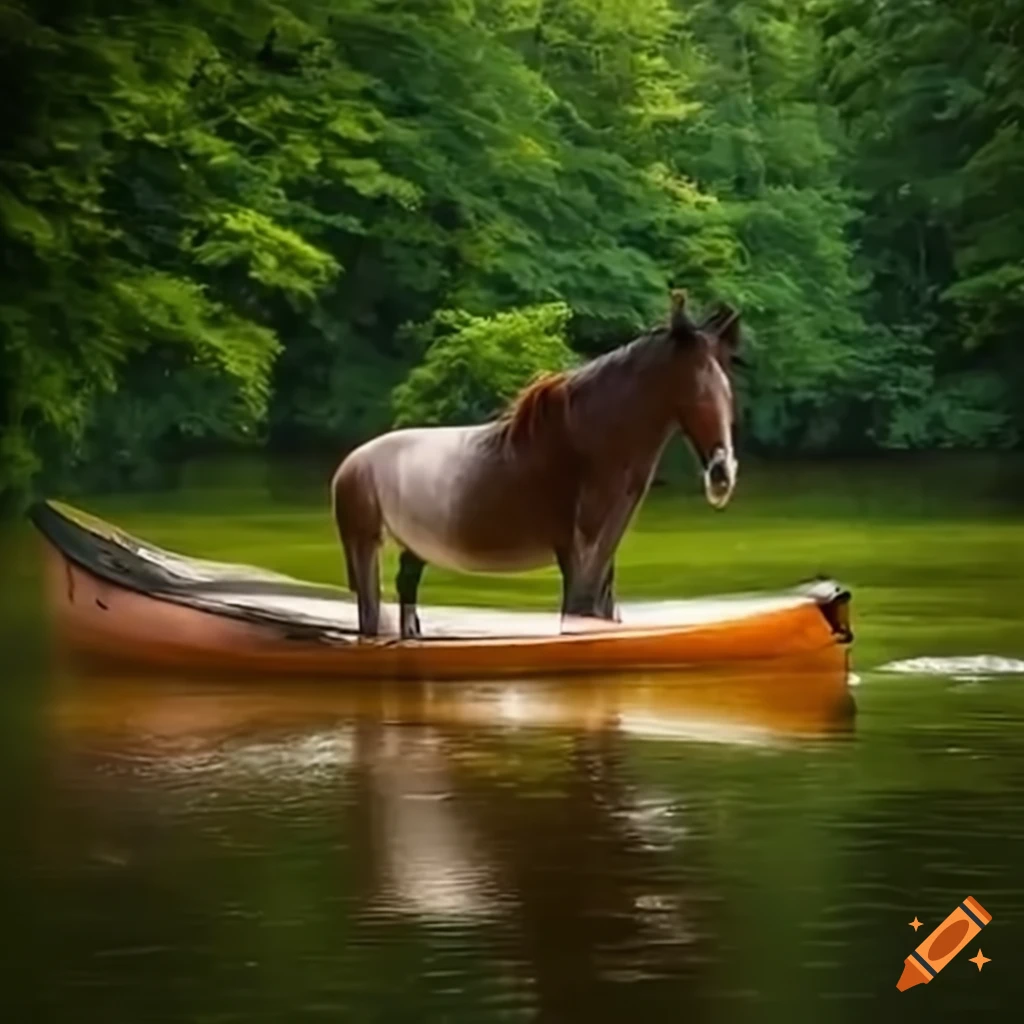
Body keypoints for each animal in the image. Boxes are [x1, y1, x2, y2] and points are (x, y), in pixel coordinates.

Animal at [331, 290, 742, 639]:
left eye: (727, 391)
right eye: (695, 392)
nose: (722, 475)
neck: (588, 446)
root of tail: (349, 465)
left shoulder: (604, 553)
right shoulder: (579, 552)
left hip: (414, 549)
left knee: (406, 592)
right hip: (364, 546)